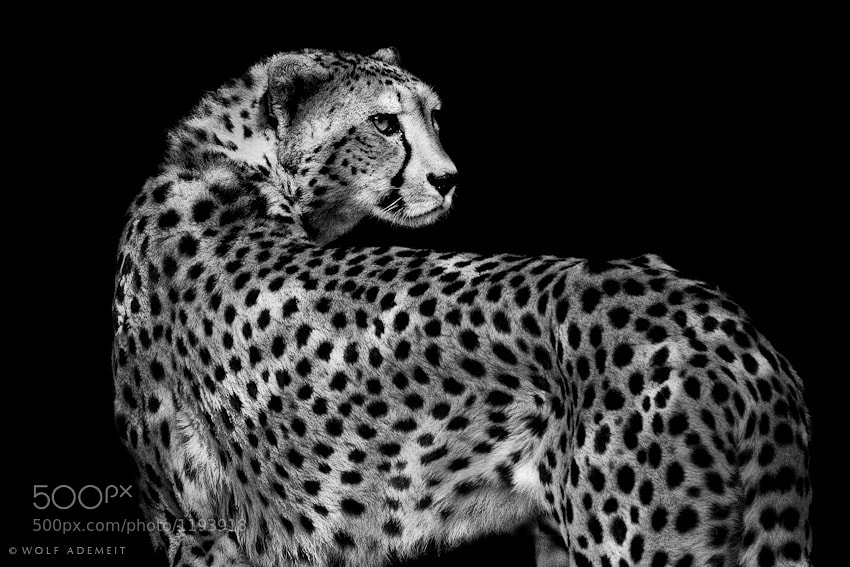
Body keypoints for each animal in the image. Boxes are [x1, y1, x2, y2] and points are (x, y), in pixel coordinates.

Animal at [112, 47, 812, 566]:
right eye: (384, 123)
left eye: (435, 116)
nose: (449, 178)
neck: (234, 163)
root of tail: (719, 316)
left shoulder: (202, 532)